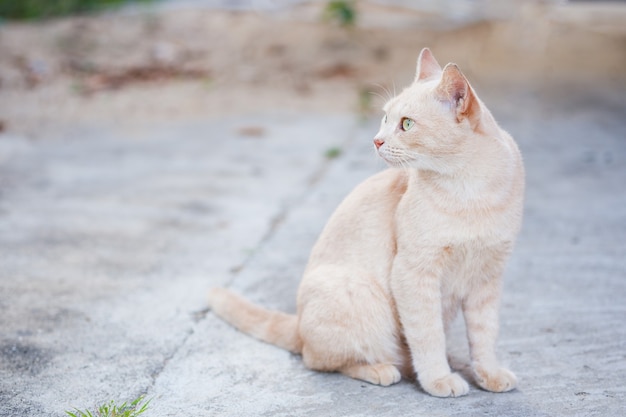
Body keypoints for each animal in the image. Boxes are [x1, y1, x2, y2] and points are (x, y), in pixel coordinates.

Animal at [207, 48, 524, 396]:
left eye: (406, 124)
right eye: (385, 118)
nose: (376, 140)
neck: (470, 190)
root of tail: (299, 322)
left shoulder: (488, 278)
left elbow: (484, 336)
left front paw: (489, 375)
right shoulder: (414, 274)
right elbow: (428, 336)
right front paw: (438, 379)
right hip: (357, 290)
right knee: (321, 359)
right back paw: (383, 369)